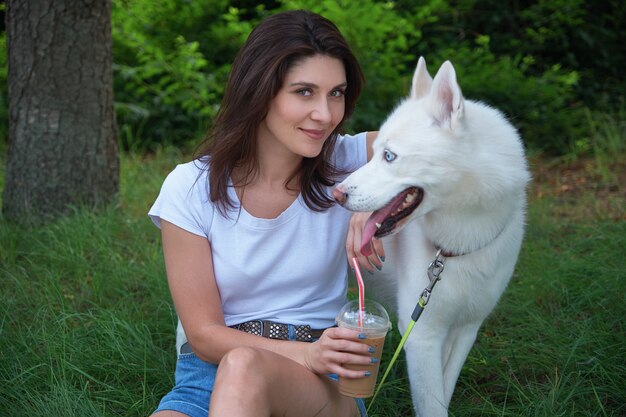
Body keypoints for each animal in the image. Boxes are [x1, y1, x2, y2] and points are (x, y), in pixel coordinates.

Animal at [334, 57, 528, 414]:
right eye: (375, 152)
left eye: (389, 156)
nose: (336, 194)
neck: (456, 248)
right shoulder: (422, 336)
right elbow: (432, 406)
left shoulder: (465, 331)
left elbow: (444, 395)